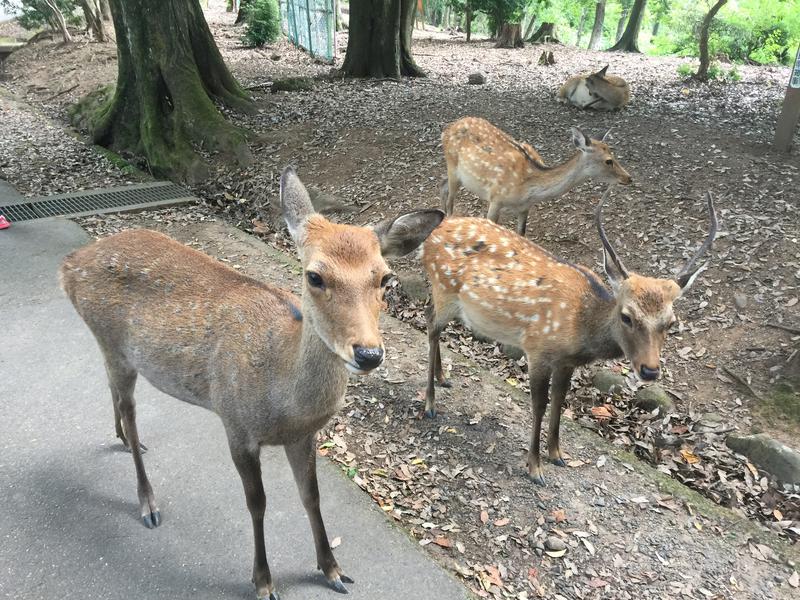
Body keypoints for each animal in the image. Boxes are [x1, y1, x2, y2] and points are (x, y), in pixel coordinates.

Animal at [59, 166, 446, 600]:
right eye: (315, 276)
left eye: (385, 279)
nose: (368, 353)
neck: (283, 402)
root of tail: (69, 264)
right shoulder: (236, 424)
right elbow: (257, 502)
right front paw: (263, 580)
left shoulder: (304, 436)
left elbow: (311, 495)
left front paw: (332, 569)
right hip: (111, 340)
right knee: (129, 407)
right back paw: (148, 502)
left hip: (114, 350)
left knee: (112, 390)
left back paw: (125, 440)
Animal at [422, 190, 716, 486]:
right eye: (627, 316)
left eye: (671, 322)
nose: (650, 370)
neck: (580, 329)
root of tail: (433, 235)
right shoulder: (537, 349)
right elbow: (539, 404)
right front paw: (535, 467)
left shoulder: (566, 362)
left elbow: (560, 399)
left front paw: (557, 454)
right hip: (444, 289)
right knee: (431, 326)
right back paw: (430, 404)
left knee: (432, 320)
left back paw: (443, 377)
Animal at [438, 117, 632, 237]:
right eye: (608, 161)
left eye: (613, 154)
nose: (629, 178)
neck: (528, 189)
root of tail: (446, 129)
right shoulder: (496, 198)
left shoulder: (525, 207)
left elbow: (522, 234)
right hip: (452, 166)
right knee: (450, 200)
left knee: (443, 186)